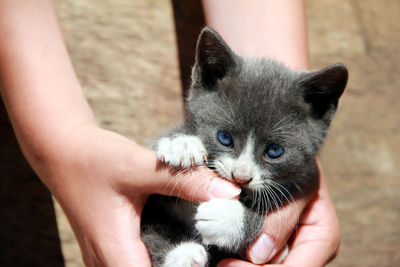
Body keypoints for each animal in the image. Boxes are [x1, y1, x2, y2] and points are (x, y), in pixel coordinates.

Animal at [141, 27, 346, 267]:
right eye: (224, 137)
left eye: (275, 151)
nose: (240, 176)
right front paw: (182, 143)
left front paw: (227, 218)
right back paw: (184, 254)